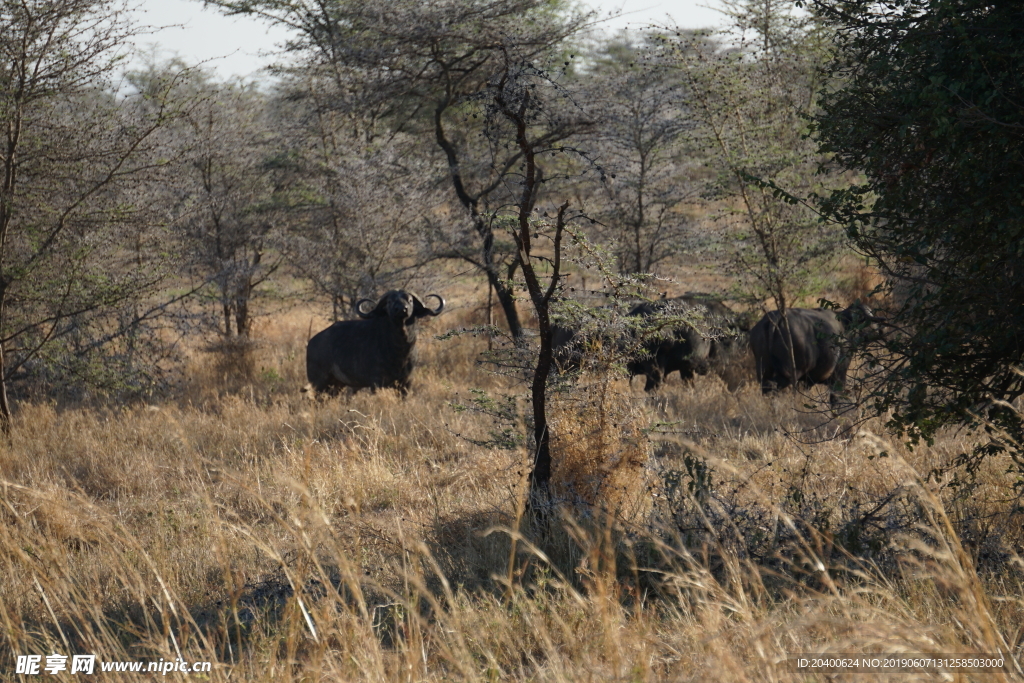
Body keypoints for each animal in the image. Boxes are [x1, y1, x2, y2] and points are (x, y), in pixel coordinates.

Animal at [305, 290, 446, 397]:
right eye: (389, 301)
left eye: (410, 300)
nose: (401, 309)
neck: (399, 349)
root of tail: (311, 343)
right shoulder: (376, 383)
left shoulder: (406, 383)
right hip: (319, 382)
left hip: (336, 385)